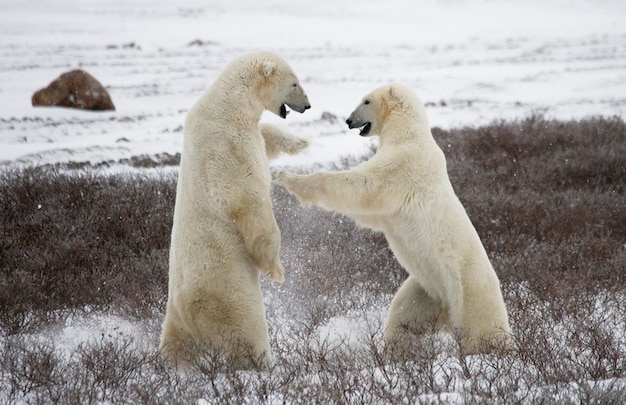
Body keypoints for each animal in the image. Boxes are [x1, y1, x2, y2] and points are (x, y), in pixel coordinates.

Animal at [158, 50, 310, 370]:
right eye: (294, 83)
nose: (307, 105)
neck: (228, 103)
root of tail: (188, 310)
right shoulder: (228, 145)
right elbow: (248, 199)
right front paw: (275, 269)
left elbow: (264, 137)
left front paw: (299, 142)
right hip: (229, 293)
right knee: (246, 331)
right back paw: (263, 364)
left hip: (174, 316)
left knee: (176, 345)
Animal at [276, 83, 512, 356]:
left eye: (366, 101)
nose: (348, 120)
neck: (408, 134)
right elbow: (370, 214)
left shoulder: (402, 166)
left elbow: (363, 187)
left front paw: (286, 176)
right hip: (427, 288)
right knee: (404, 317)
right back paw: (396, 353)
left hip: (468, 290)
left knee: (480, 328)